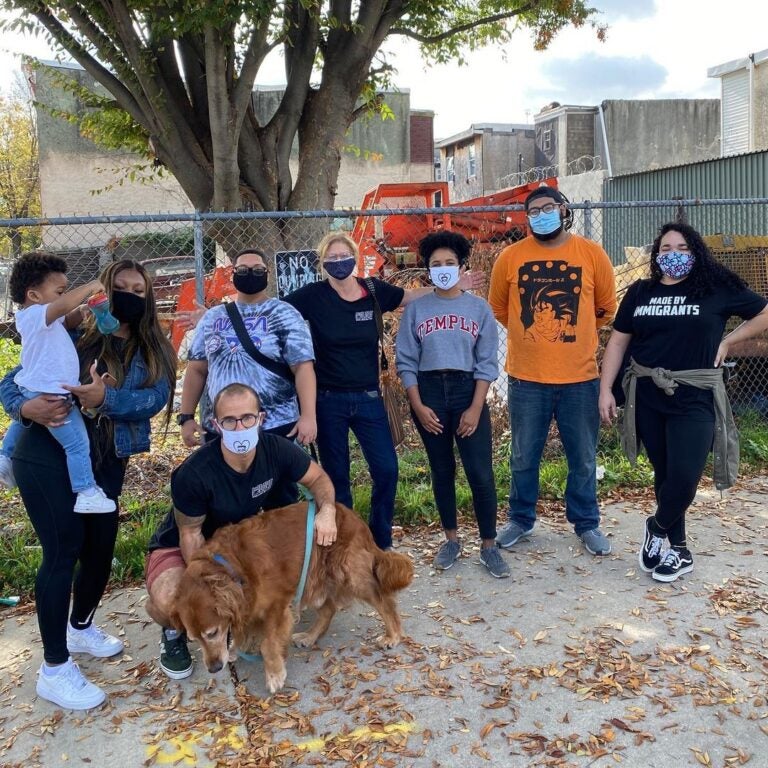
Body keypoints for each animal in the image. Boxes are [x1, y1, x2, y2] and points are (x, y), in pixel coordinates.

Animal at [172, 500, 416, 692]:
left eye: (212, 633)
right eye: (194, 639)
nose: (214, 668)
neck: (231, 568)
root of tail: (355, 518)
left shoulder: (277, 605)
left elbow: (268, 643)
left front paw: (274, 675)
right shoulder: (247, 606)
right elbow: (244, 631)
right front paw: (235, 648)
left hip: (349, 573)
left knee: (383, 601)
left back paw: (393, 635)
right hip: (311, 579)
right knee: (328, 609)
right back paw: (309, 636)